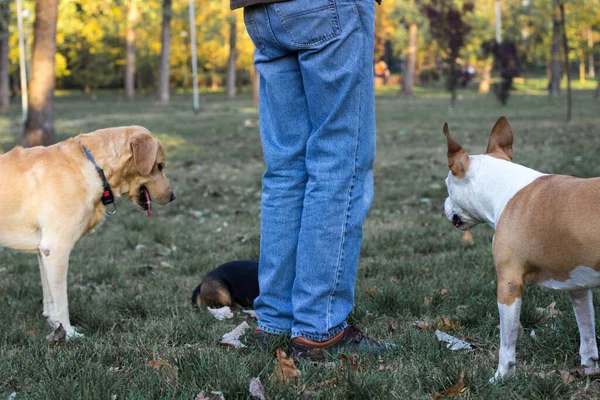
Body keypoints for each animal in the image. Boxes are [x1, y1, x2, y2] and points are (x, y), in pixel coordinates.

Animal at [0, 126, 173, 340]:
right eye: (159, 166)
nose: (173, 196)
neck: (95, 168)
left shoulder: (43, 251)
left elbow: (49, 297)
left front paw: (53, 325)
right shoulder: (56, 249)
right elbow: (61, 300)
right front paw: (68, 333)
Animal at [442, 116, 600, 382]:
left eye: (446, 185)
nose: (443, 205)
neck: (504, 189)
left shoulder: (509, 283)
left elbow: (507, 342)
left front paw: (500, 377)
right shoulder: (578, 284)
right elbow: (587, 334)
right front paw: (588, 369)